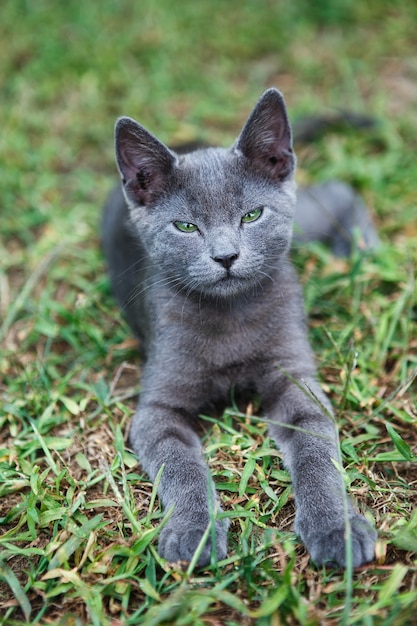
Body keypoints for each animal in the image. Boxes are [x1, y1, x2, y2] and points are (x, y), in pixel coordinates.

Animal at [101, 88, 376, 564]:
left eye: (251, 215)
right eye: (185, 226)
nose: (226, 256)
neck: (230, 316)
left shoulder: (295, 381)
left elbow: (317, 452)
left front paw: (335, 527)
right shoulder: (156, 411)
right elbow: (181, 466)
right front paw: (194, 531)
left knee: (338, 190)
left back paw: (365, 248)